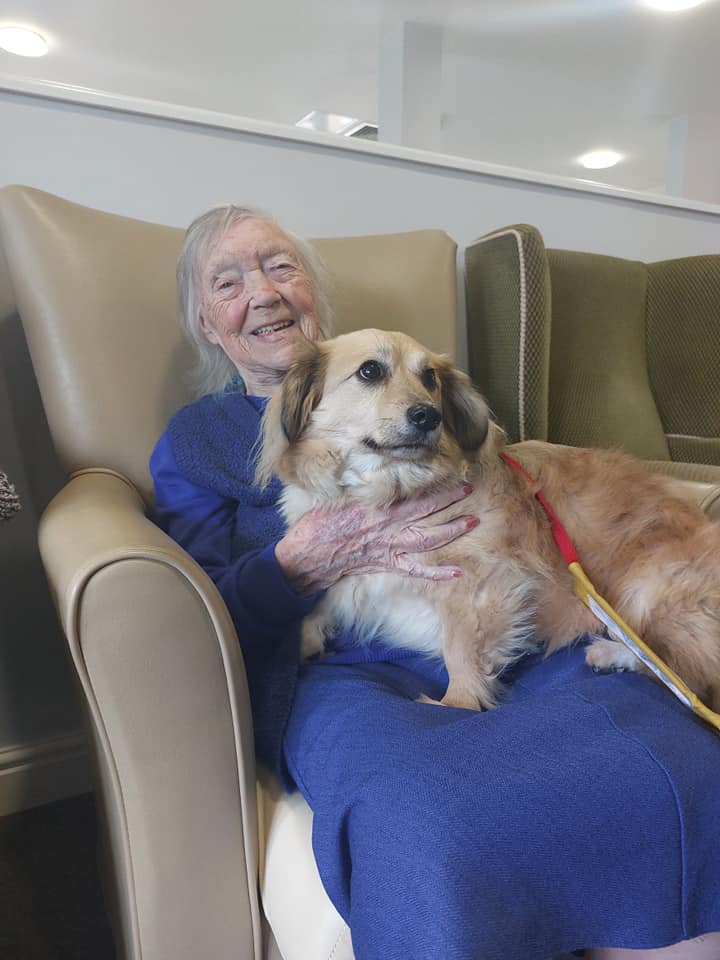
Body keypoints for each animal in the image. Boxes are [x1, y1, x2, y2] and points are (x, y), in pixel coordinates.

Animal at [255, 330, 720, 712]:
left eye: (430, 378)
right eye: (370, 370)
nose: (428, 416)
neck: (392, 488)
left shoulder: (482, 583)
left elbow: (461, 650)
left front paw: (455, 704)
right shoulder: (351, 574)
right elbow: (315, 608)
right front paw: (296, 645)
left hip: (648, 591)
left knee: (690, 679)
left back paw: (612, 654)